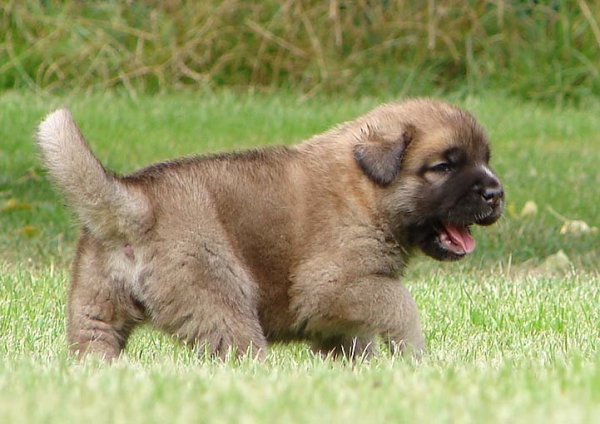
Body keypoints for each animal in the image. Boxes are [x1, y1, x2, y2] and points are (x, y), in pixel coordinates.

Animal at [35, 99, 504, 362]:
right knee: (238, 351)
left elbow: (356, 340)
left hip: (95, 312)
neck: (365, 189)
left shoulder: (341, 313)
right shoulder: (334, 284)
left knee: (93, 348)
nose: (496, 193)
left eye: (485, 159)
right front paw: (414, 357)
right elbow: (400, 306)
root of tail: (137, 204)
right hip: (220, 301)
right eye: (444, 166)